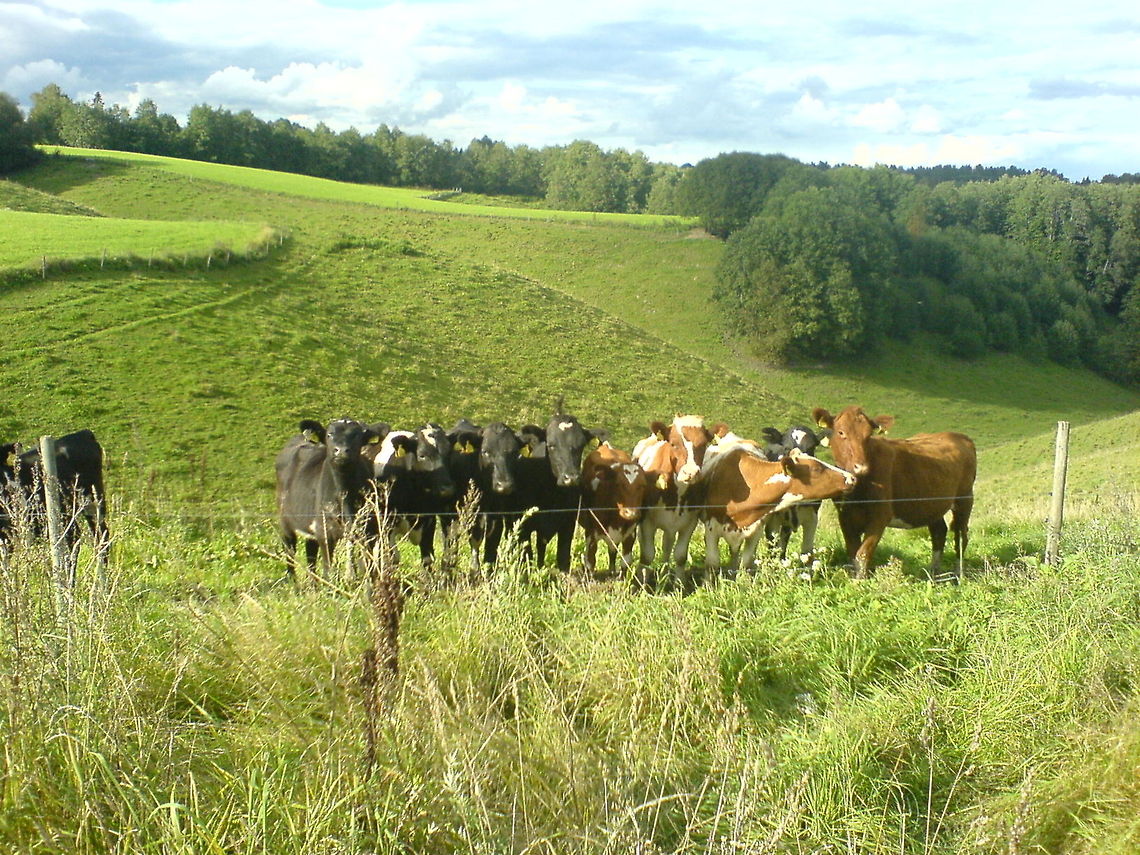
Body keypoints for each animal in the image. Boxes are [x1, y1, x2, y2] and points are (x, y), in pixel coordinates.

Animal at [274, 418, 385, 581]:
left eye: (357, 435)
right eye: (329, 434)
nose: (341, 450)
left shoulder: (370, 531)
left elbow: (369, 566)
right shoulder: (325, 533)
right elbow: (328, 570)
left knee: (311, 555)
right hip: (285, 521)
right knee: (290, 552)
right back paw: (293, 583)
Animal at [578, 443, 648, 578]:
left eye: (643, 485)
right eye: (618, 484)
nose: (631, 513)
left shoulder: (630, 534)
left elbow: (626, 560)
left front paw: (622, 579)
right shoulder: (591, 534)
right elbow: (590, 560)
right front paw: (590, 579)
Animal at [633, 415, 714, 592]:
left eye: (703, 444)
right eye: (673, 443)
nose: (691, 472)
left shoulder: (689, 522)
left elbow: (680, 555)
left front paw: (680, 584)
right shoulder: (647, 522)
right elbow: (647, 554)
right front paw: (643, 585)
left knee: (667, 545)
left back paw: (664, 573)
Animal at [686, 444, 856, 579]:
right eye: (817, 469)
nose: (852, 477)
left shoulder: (756, 529)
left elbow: (746, 563)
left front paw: (744, 585)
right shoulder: (711, 528)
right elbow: (712, 564)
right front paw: (709, 586)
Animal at [811, 406, 977, 582]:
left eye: (869, 434)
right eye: (841, 432)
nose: (861, 467)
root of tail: (959, 436)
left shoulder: (880, 515)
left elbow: (863, 553)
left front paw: (860, 581)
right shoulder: (845, 516)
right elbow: (852, 552)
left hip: (964, 498)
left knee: (961, 535)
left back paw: (958, 574)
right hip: (931, 503)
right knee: (939, 532)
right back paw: (933, 573)